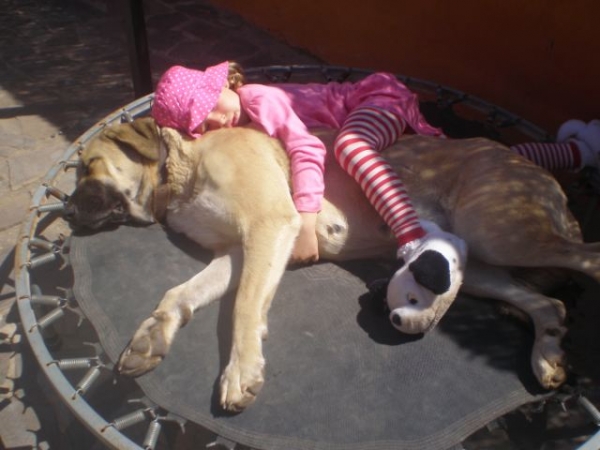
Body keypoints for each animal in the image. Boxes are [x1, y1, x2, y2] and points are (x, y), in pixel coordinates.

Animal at [64, 118, 600, 414]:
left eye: (90, 165)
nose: (66, 212)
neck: (179, 171)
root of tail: (532, 166)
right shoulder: (237, 251)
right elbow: (179, 293)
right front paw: (152, 336)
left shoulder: (268, 226)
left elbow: (243, 308)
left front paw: (242, 371)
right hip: (480, 262)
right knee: (548, 304)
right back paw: (548, 356)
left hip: (500, 231)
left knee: (587, 259)